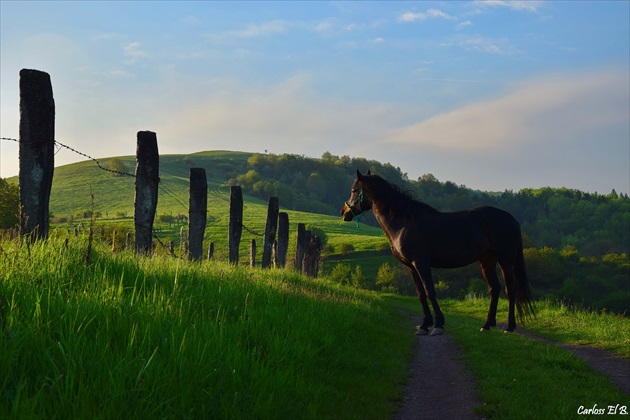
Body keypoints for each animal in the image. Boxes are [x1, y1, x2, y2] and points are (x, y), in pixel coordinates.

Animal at [340, 169, 532, 336]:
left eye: (354, 190)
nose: (343, 213)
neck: (404, 223)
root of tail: (512, 220)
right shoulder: (411, 267)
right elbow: (420, 294)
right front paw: (424, 325)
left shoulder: (421, 263)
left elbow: (430, 292)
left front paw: (438, 324)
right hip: (487, 261)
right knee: (494, 289)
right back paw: (486, 325)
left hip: (506, 261)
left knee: (510, 289)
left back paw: (509, 327)